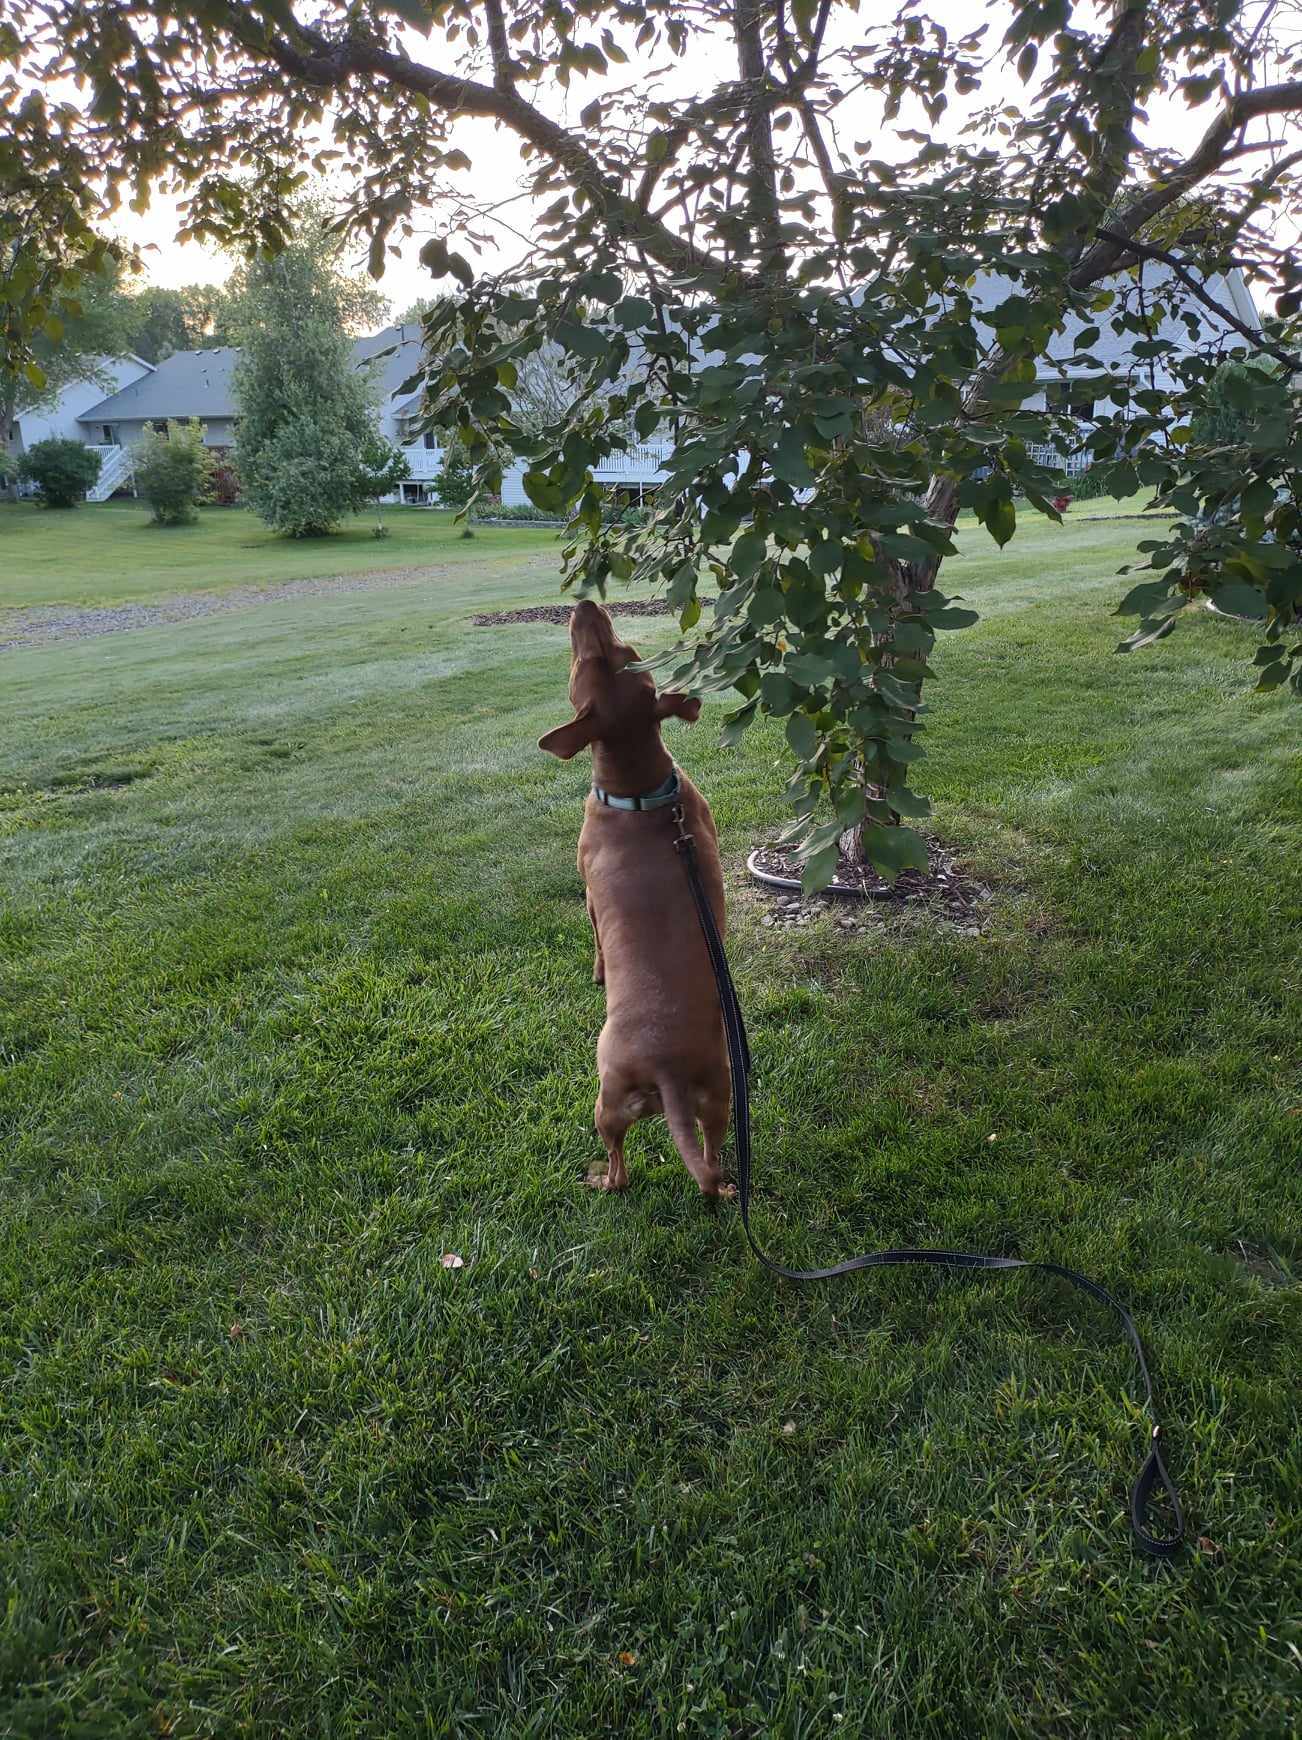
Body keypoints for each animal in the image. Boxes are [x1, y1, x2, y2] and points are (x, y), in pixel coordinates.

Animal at [539, 602, 738, 1197]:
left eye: (593, 658)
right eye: (628, 655)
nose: (585, 604)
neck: (641, 792)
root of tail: (666, 1071)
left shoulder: (587, 894)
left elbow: (597, 943)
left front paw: (598, 971)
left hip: (607, 1102)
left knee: (621, 1167)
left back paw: (600, 1180)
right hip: (720, 1098)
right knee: (712, 1163)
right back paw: (725, 1187)